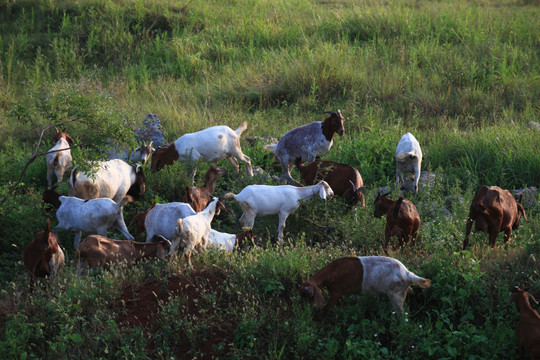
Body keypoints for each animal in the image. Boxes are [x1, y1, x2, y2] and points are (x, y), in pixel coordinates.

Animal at [300, 256, 430, 316]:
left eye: (309, 295)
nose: (305, 309)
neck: (333, 271)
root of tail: (407, 273)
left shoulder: (336, 292)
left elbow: (327, 308)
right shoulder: (353, 291)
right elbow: (358, 302)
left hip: (395, 295)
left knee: (402, 315)